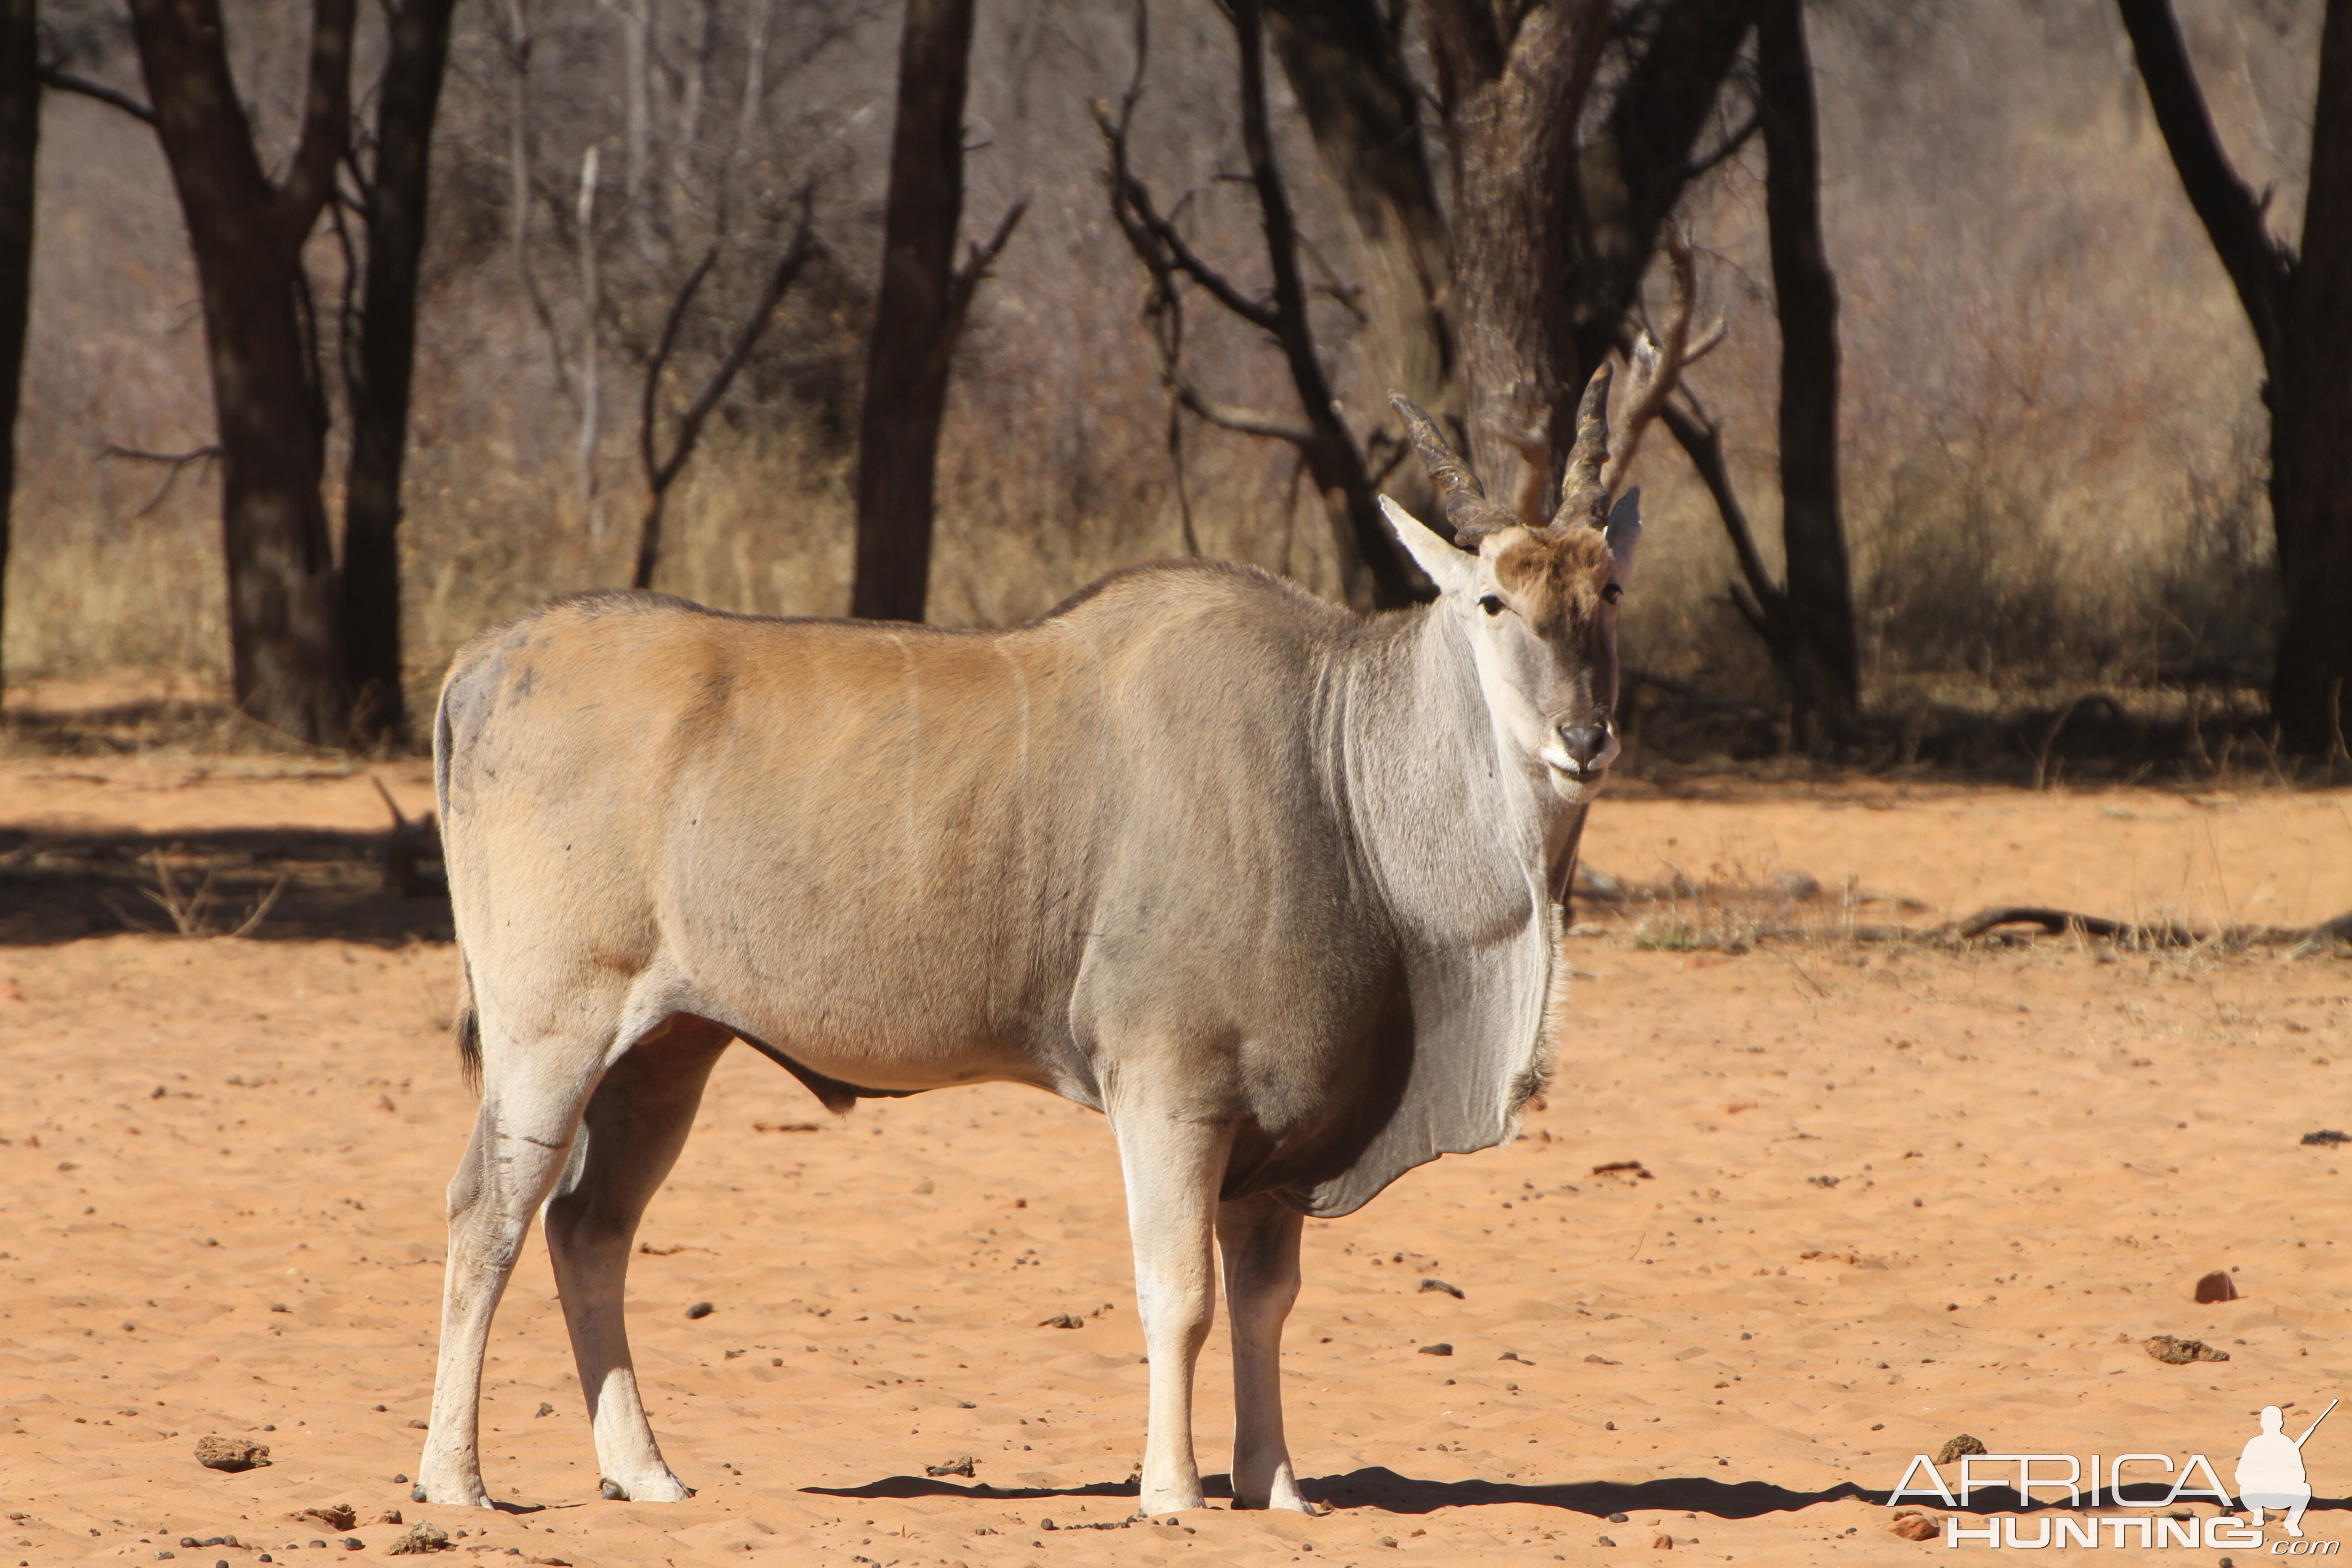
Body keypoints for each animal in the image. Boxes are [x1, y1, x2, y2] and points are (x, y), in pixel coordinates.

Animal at [428, 362, 1656, 1514]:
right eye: (1492, 600)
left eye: (1609, 587)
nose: (1584, 737)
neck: (1334, 754)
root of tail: (482, 661)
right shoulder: (1169, 1090)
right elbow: (1180, 1296)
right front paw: (1172, 1492)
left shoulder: (1273, 1142)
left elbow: (1265, 1305)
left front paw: (1274, 1485)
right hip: (553, 1031)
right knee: (490, 1212)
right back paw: (457, 1480)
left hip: (668, 1050)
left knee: (589, 1227)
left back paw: (642, 1472)